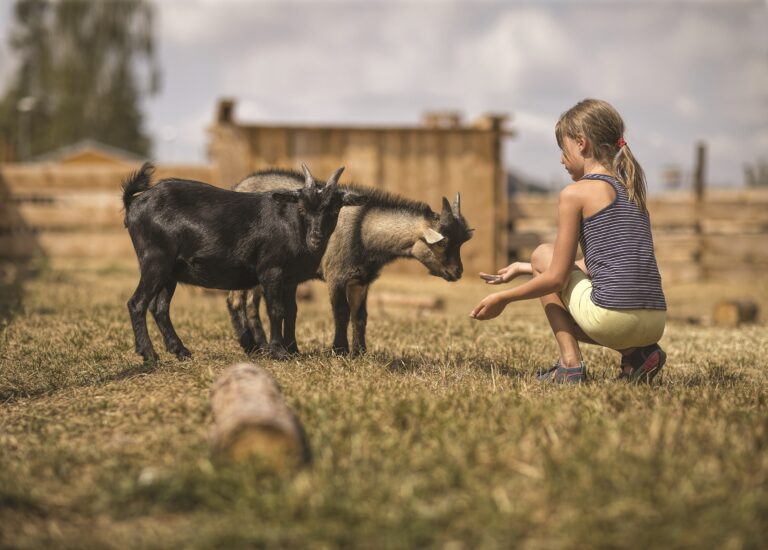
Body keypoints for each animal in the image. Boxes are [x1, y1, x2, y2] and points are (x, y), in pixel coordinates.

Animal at [123, 163, 366, 362]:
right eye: (302, 208)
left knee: (159, 308)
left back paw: (180, 351)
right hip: (155, 261)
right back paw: (149, 354)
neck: (293, 225)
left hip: (170, 272)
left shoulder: (290, 280)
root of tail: (134, 203)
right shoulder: (271, 270)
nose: (315, 239)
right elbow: (276, 309)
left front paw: (294, 350)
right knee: (137, 303)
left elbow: (292, 311)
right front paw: (279, 352)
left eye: (334, 209)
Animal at [225, 168, 472, 356]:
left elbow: (360, 315)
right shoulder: (336, 275)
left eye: (462, 242)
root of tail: (237, 186)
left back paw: (266, 346)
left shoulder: (360, 281)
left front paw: (360, 351)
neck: (362, 230)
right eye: (442, 242)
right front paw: (340, 350)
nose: (457, 272)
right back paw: (251, 346)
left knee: (255, 303)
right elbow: (341, 311)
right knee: (235, 300)